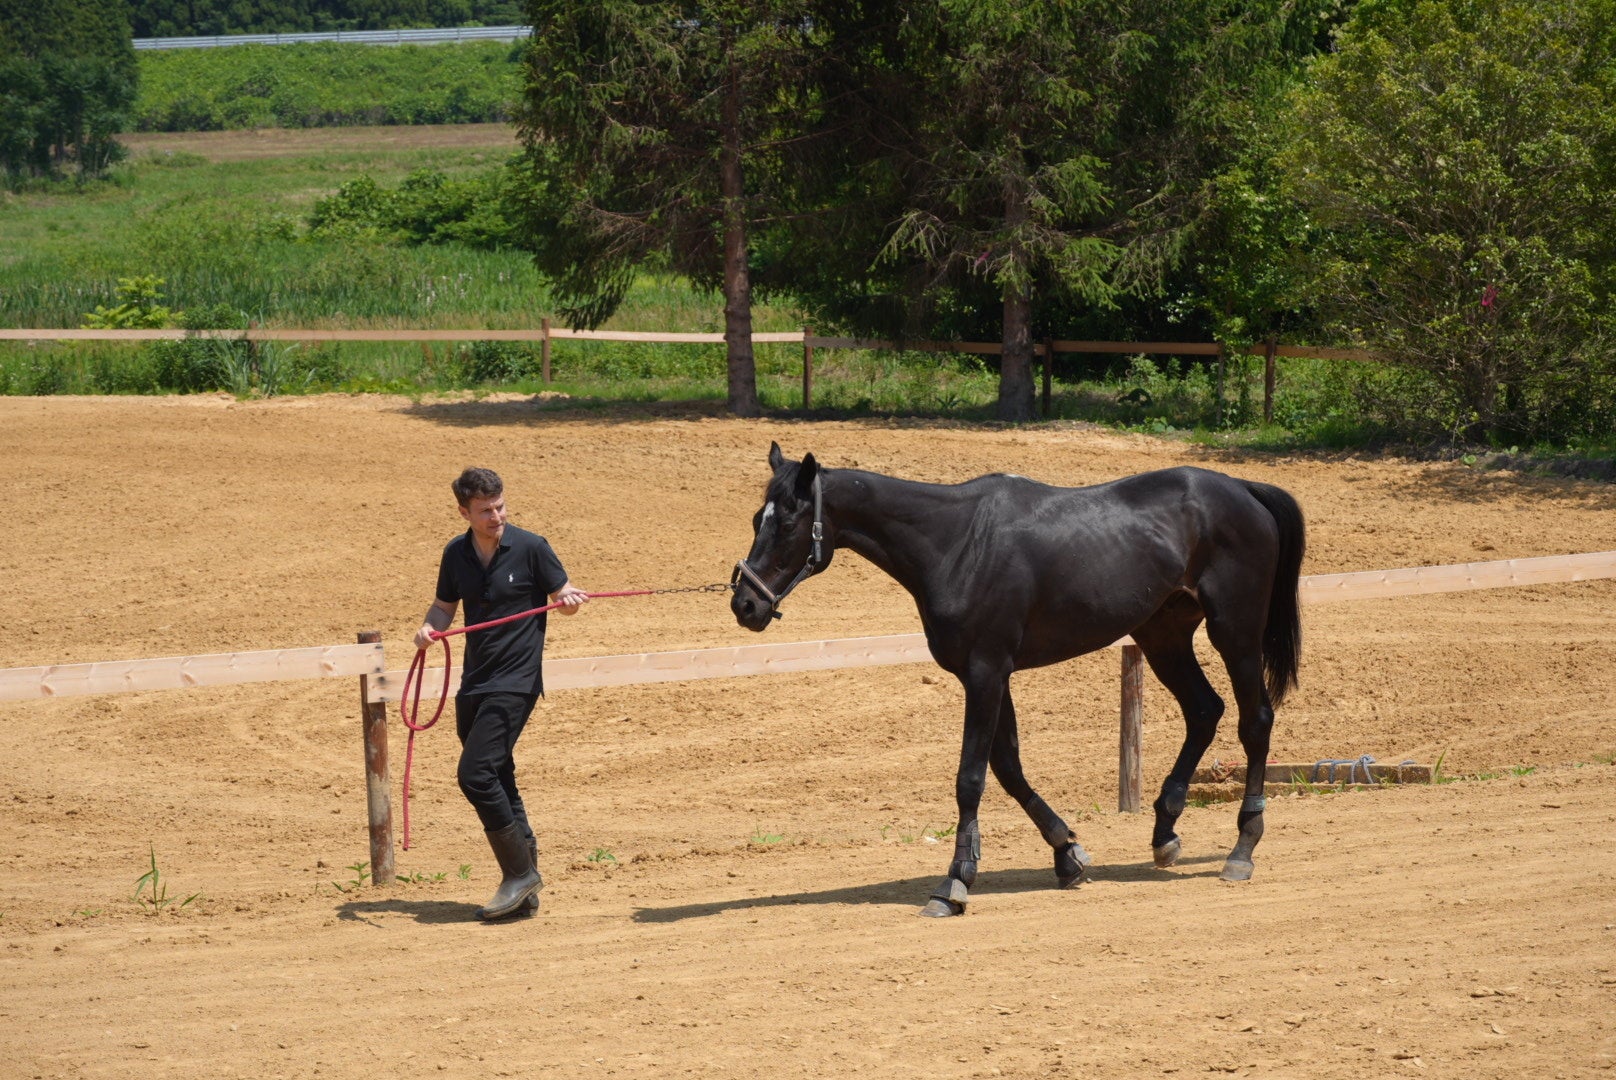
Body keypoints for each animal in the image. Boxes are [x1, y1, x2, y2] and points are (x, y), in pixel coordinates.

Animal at [730, 442, 1299, 918]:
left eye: (788, 524)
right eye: (758, 518)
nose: (746, 604)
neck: (956, 543)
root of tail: (1244, 489)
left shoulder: (986, 672)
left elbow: (971, 777)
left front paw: (954, 884)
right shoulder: (988, 675)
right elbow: (1007, 767)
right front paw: (1068, 854)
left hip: (1235, 632)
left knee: (1254, 721)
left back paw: (1242, 849)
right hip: (1163, 634)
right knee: (1204, 711)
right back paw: (1165, 833)